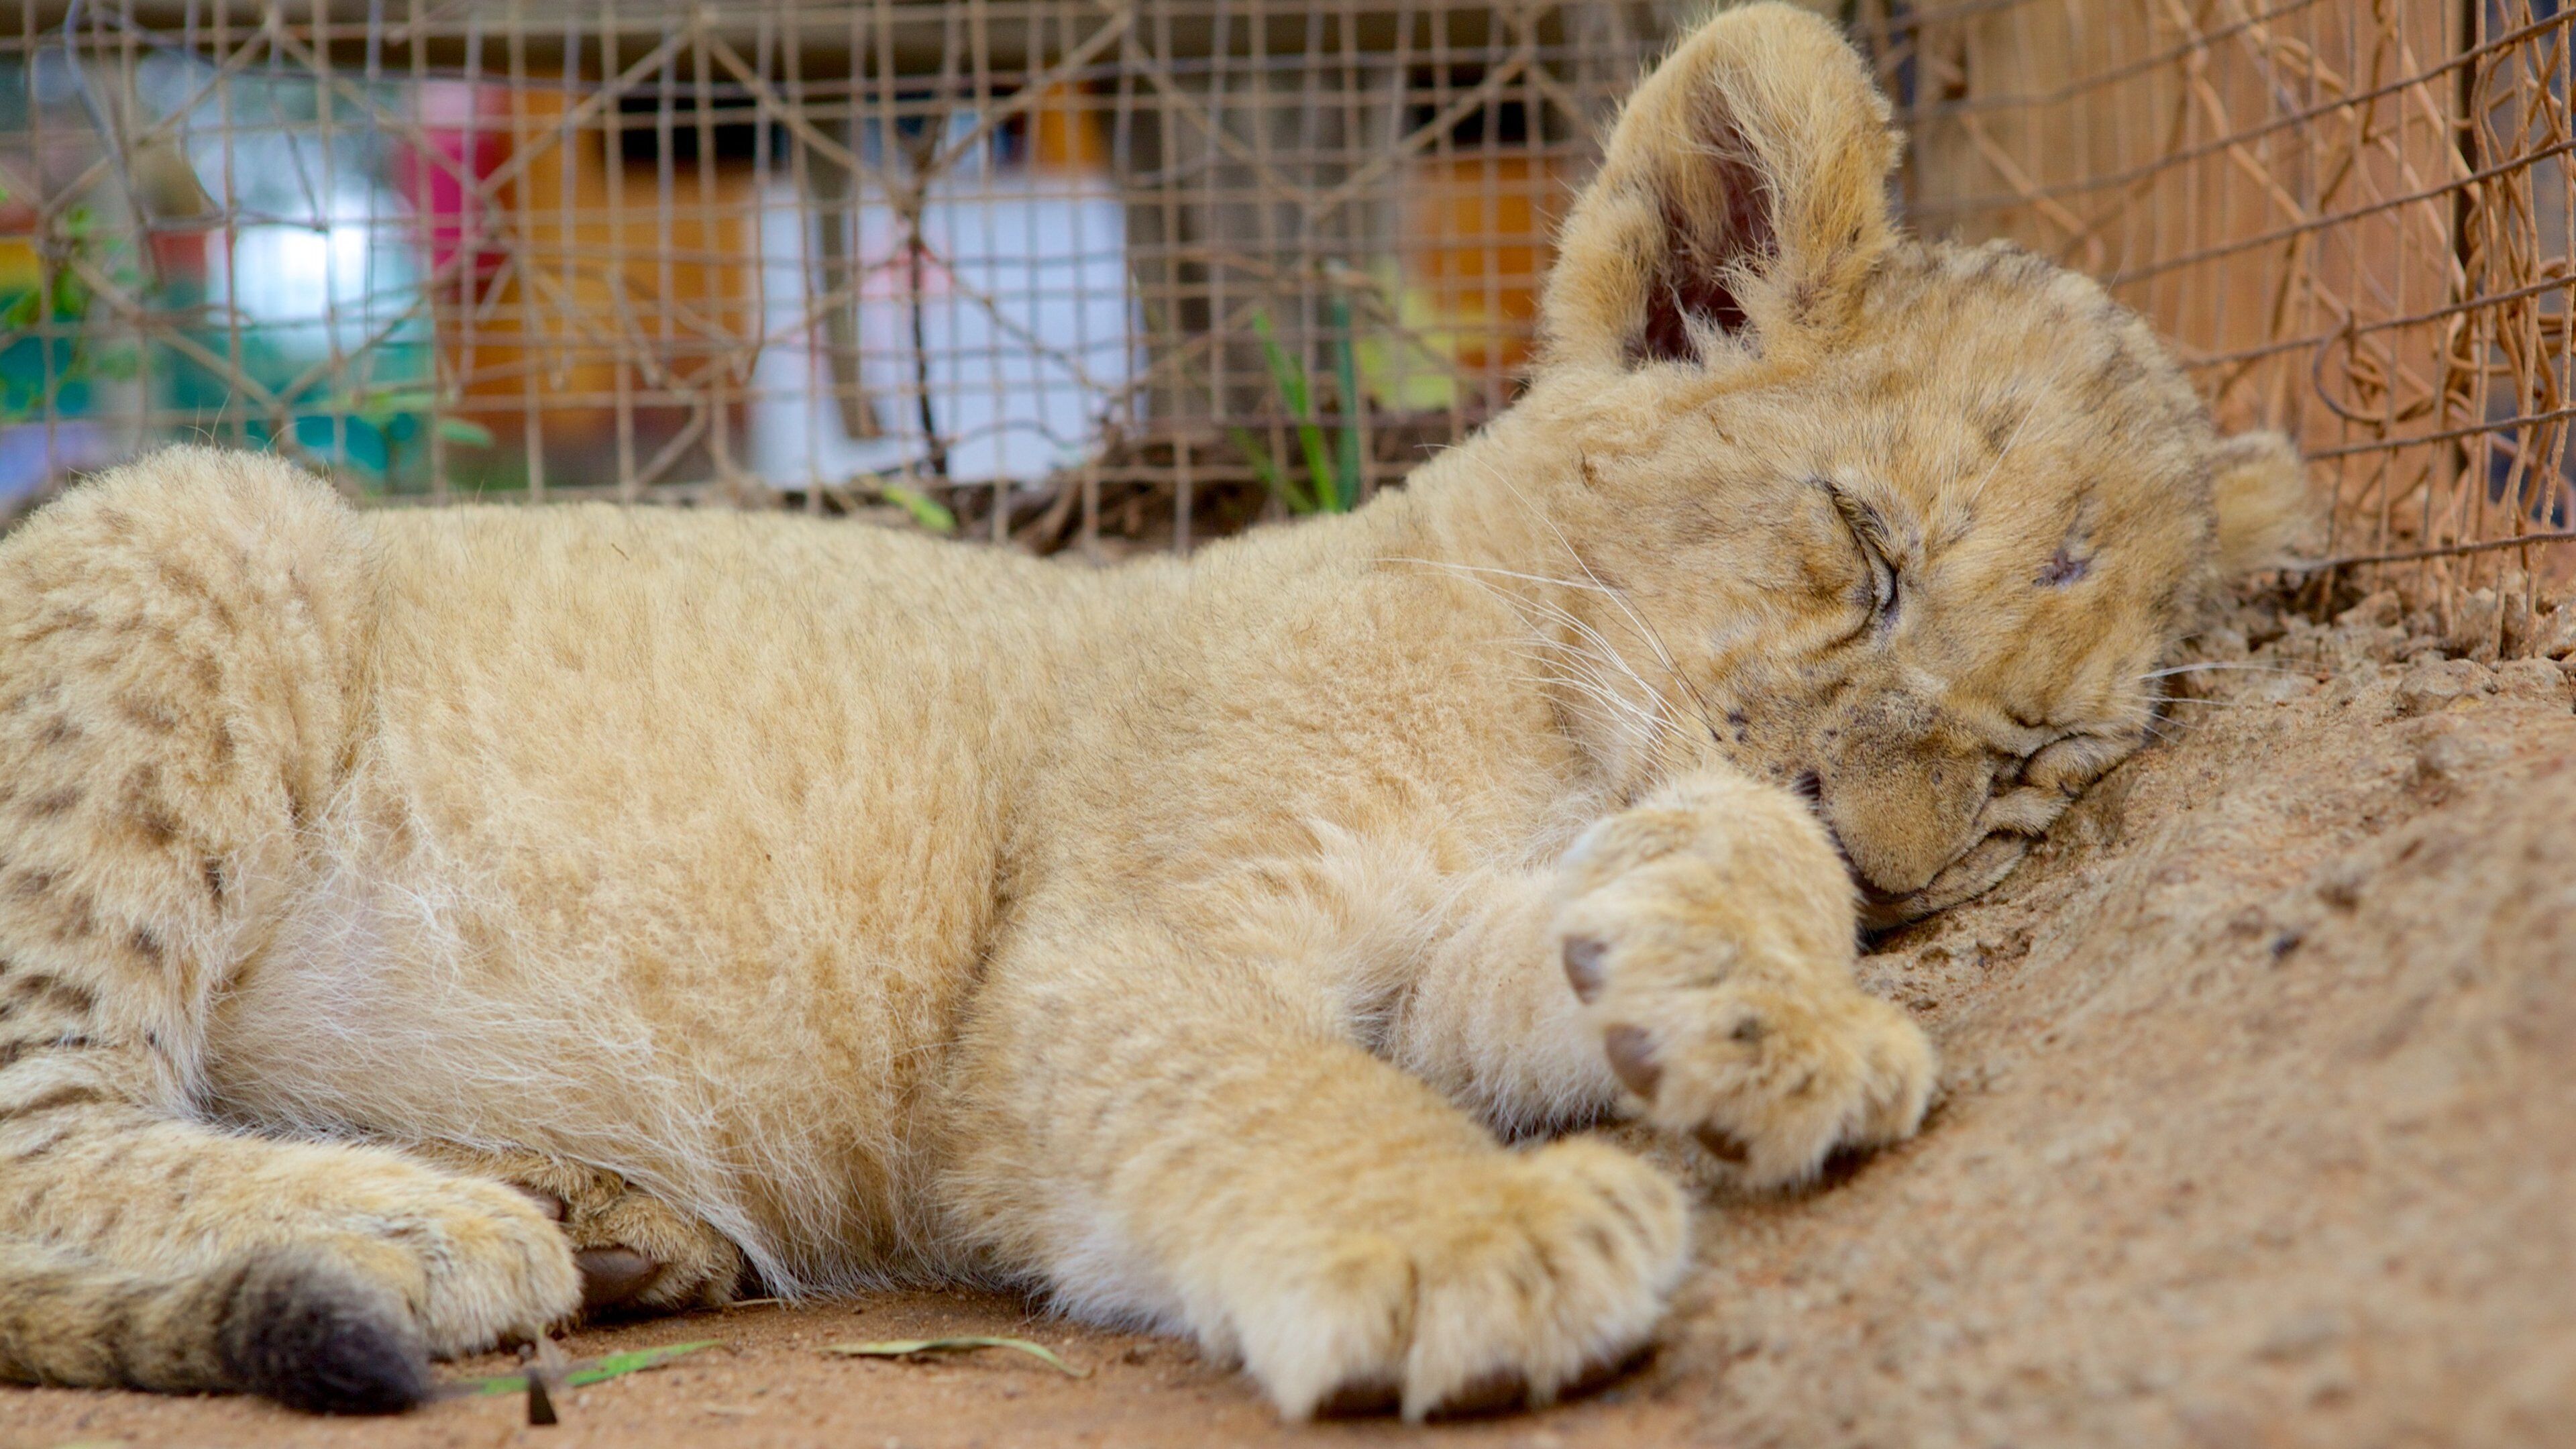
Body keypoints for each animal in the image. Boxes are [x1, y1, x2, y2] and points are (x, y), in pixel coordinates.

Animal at [0, 3, 2303, 1422]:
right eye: (1866, 552)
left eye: (2037, 767)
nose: (1884, 871)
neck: (1539, 718)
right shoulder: (1102, 959)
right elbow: (1268, 1092)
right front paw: (1476, 1233)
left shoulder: (1435, 947)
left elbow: (1620, 908)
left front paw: (1761, 1010)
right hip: (207, 535)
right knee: (44, 1139)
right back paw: (434, 1227)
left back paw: (600, 1223)